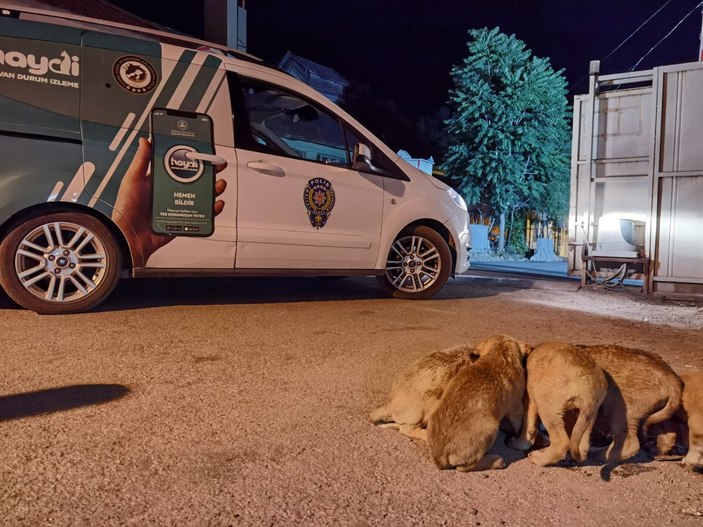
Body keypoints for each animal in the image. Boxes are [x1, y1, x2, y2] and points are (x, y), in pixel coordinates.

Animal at [426, 338, 532, 474]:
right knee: (464, 467)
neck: (499, 353)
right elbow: (519, 424)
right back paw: (496, 461)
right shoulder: (516, 408)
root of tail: (439, 457)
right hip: (491, 428)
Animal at [508, 340, 608, 468]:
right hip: (590, 415)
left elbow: (528, 425)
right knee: (583, 447)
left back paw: (539, 459)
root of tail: (589, 386)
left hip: (545, 402)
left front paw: (519, 443)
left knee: (561, 442)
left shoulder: (530, 396)